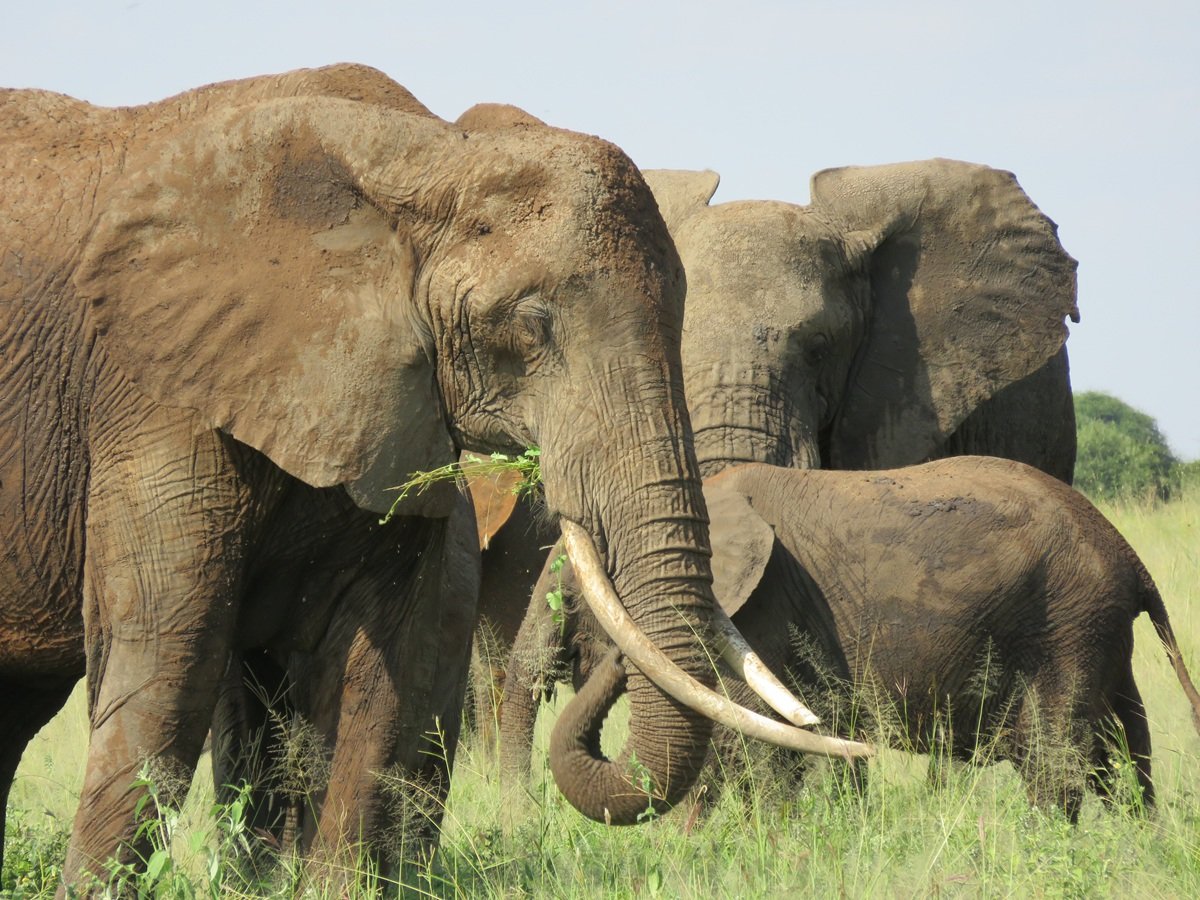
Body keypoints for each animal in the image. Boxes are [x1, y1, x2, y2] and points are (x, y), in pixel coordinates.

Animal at [503, 457, 1200, 820]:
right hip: (1097, 632)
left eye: (568, 596)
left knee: (1057, 764)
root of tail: (1129, 556)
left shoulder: (762, 612)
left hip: (1069, 622)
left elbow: (745, 740)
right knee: (1119, 753)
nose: (610, 659)